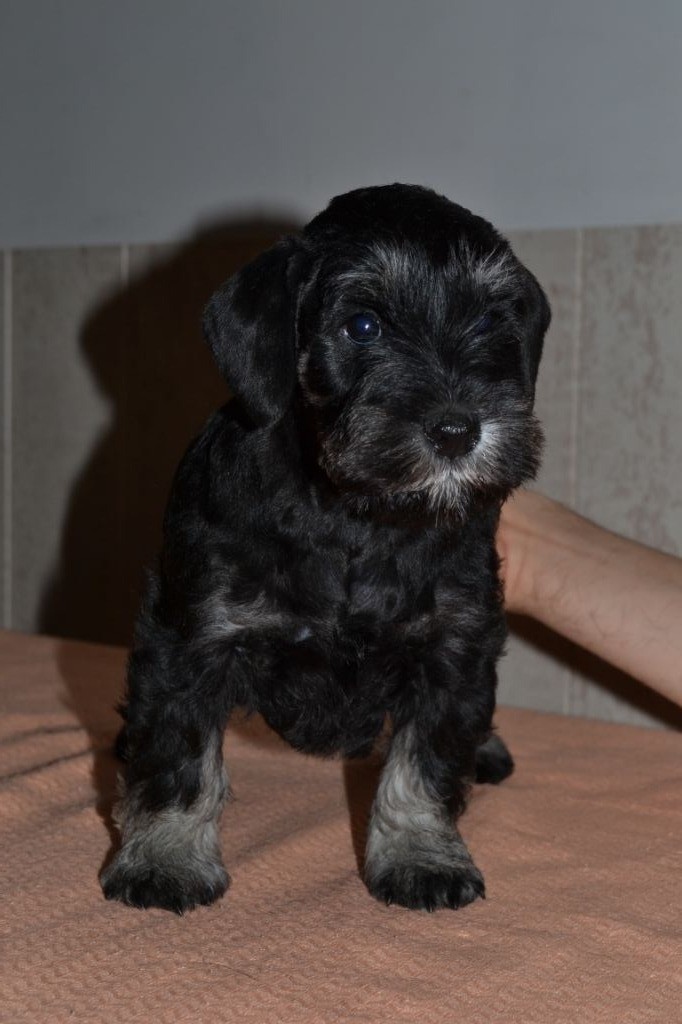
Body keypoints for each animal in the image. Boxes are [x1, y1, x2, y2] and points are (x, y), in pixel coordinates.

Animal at [101, 184, 550, 914]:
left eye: (490, 319)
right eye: (362, 326)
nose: (458, 431)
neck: (362, 517)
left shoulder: (454, 647)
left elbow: (426, 760)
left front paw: (421, 857)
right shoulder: (192, 636)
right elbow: (178, 755)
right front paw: (164, 860)